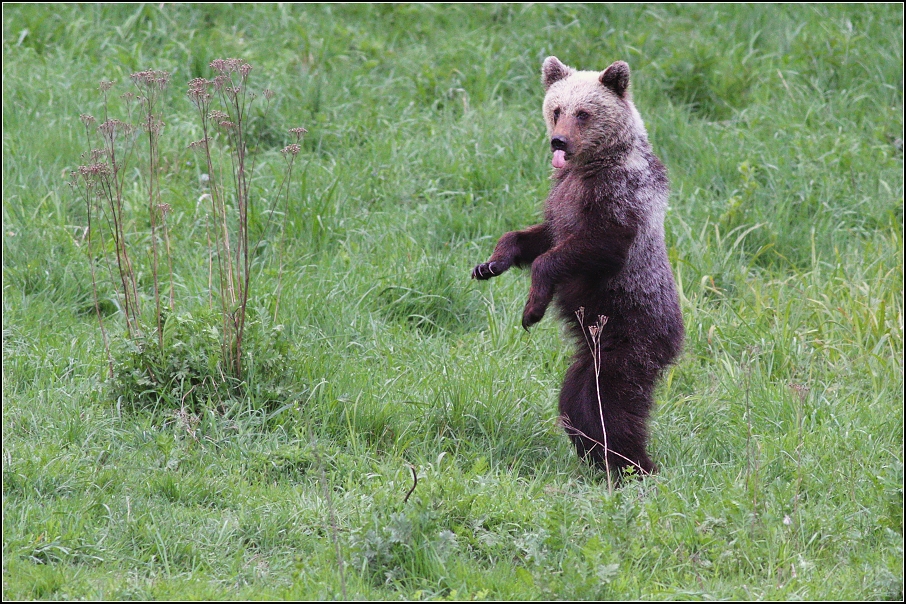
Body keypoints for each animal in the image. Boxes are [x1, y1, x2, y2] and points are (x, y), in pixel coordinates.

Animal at [470, 54, 680, 474]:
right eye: (556, 110)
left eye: (584, 113)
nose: (559, 141)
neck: (590, 165)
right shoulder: (560, 199)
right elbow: (536, 236)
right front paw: (490, 264)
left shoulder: (617, 200)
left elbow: (582, 248)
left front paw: (532, 308)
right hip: (590, 351)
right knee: (577, 400)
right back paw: (598, 458)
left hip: (629, 333)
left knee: (611, 400)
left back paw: (633, 463)